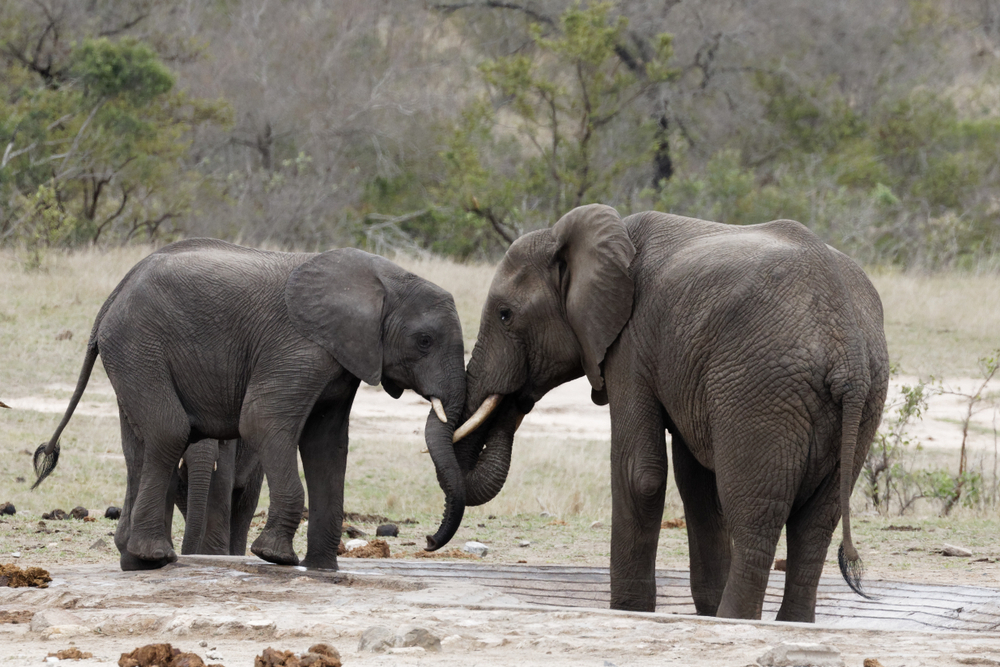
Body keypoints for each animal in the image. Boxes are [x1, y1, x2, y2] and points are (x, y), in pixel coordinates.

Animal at [34, 240, 464, 576]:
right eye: (424, 341)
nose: (429, 540)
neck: (389, 278)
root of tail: (114, 294)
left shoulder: (343, 360)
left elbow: (327, 445)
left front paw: (323, 570)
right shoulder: (298, 346)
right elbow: (261, 421)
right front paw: (276, 558)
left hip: (130, 353)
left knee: (138, 447)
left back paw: (137, 562)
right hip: (139, 343)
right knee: (170, 431)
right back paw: (155, 556)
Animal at [450, 206, 888, 624]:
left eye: (505, 315)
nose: (515, 401)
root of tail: (847, 348)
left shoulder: (631, 341)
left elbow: (639, 474)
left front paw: (629, 611)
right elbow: (696, 484)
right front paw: (704, 607)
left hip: (763, 389)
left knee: (755, 516)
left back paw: (735, 619)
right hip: (859, 401)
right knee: (817, 522)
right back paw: (788, 622)